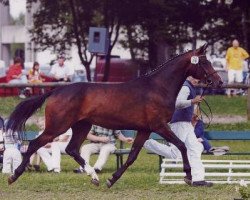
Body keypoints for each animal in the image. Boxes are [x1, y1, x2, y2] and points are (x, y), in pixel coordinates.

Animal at [5, 43, 222, 188]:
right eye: (204, 61)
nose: (219, 82)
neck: (158, 87)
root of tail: (56, 90)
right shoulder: (159, 126)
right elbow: (182, 145)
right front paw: (188, 176)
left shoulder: (144, 130)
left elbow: (132, 156)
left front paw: (112, 180)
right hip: (57, 126)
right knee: (35, 144)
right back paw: (13, 176)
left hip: (81, 126)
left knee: (72, 149)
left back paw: (95, 177)